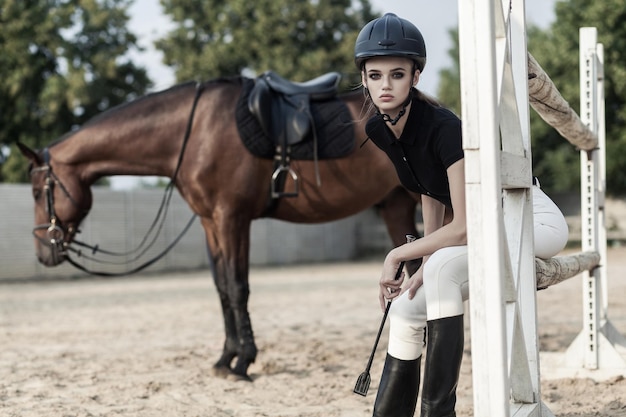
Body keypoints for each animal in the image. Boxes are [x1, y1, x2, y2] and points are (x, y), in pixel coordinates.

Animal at [18, 75, 420, 380]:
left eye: (38, 191)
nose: (42, 252)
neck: (194, 132)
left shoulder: (232, 218)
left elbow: (238, 287)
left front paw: (243, 363)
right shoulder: (211, 222)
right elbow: (223, 288)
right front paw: (226, 359)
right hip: (397, 207)